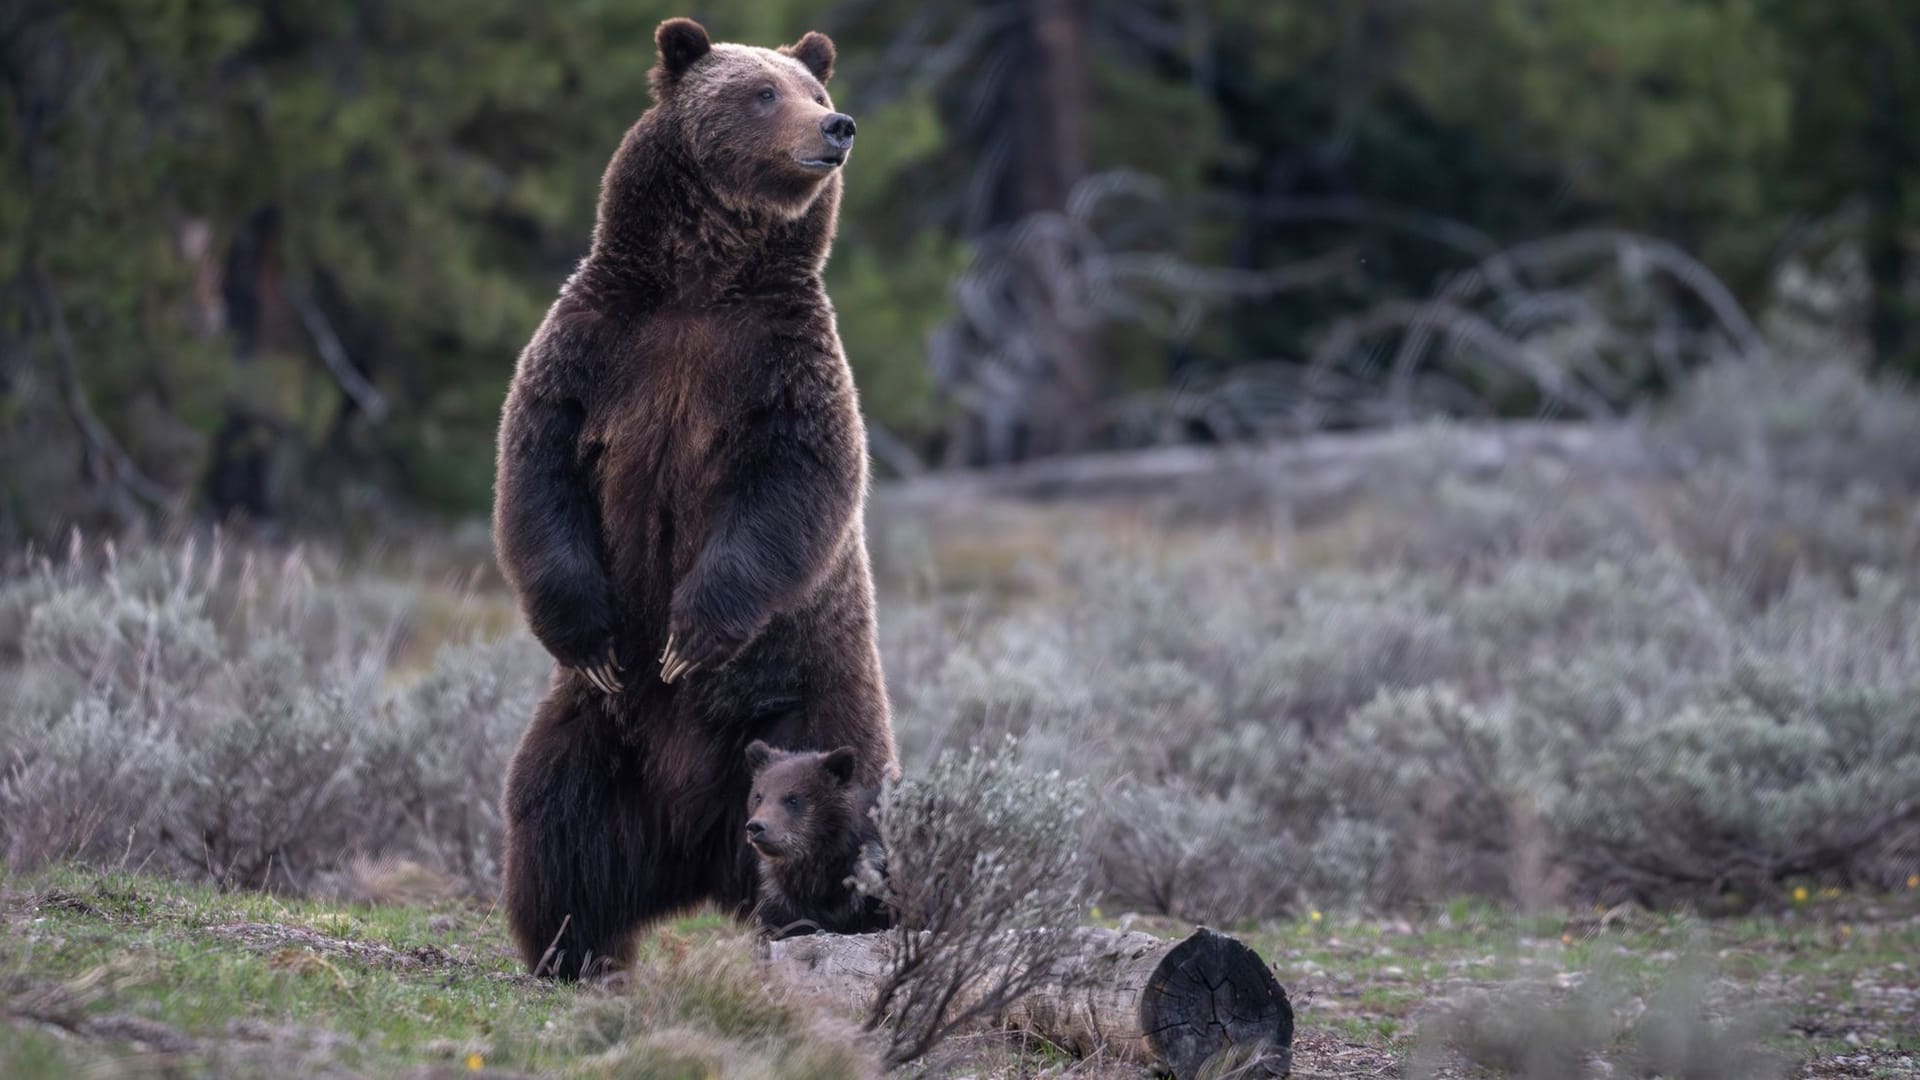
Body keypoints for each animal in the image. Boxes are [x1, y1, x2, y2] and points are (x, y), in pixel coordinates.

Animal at [487, 16, 890, 976]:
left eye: (814, 90)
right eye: (763, 92)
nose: (838, 127)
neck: (702, 280)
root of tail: (696, 848)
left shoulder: (782, 367)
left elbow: (793, 490)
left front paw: (690, 636)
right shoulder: (597, 347)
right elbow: (538, 472)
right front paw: (594, 635)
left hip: (813, 707)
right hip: (598, 736)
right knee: (556, 821)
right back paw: (572, 950)